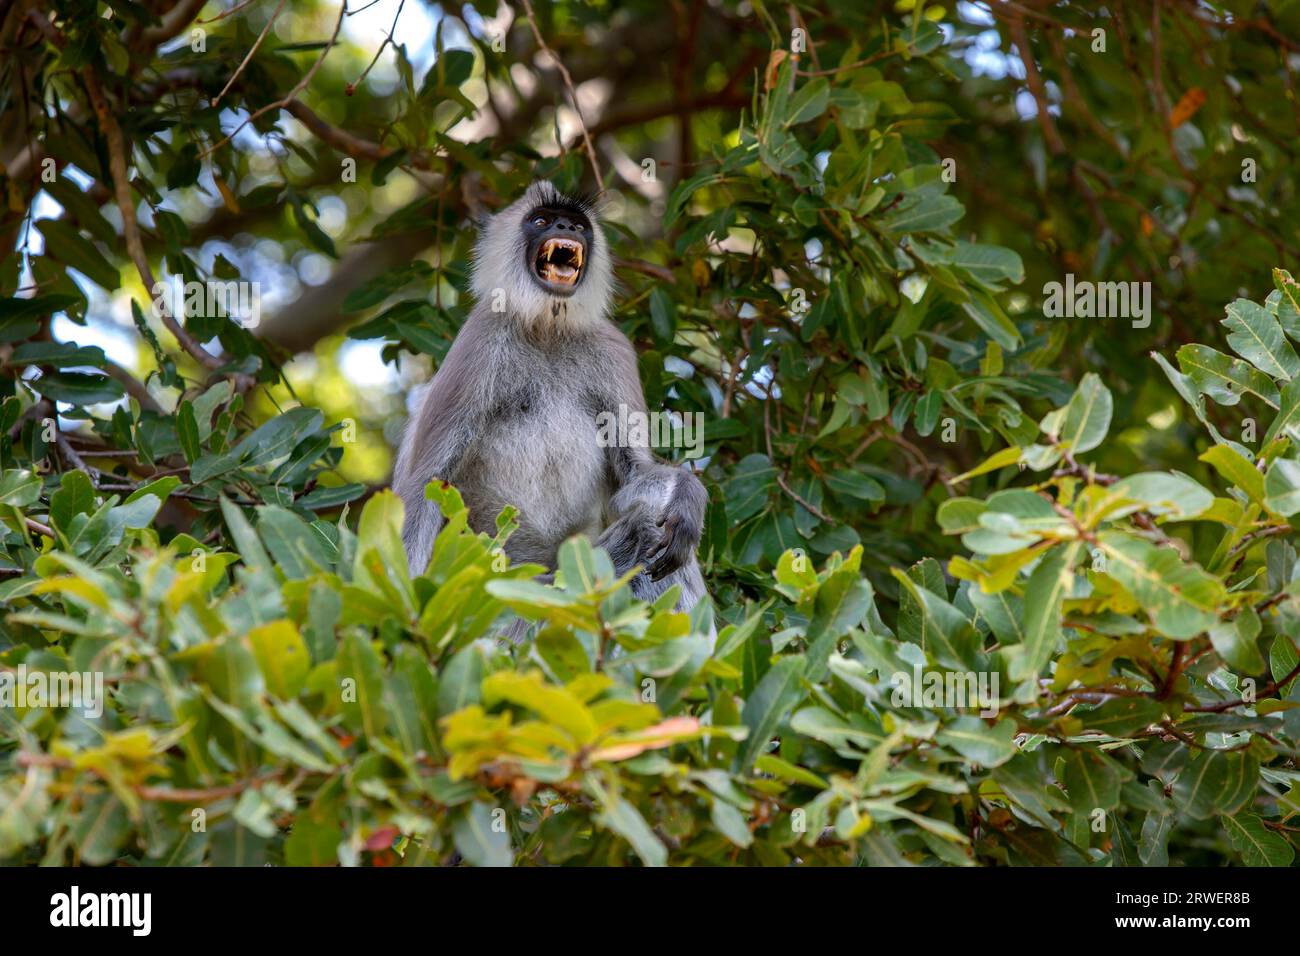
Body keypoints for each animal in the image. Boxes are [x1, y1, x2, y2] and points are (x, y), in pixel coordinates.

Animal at [390, 182, 712, 624]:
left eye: (576, 225)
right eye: (541, 221)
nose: (564, 227)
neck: (547, 329)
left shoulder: (610, 349)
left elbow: (635, 476)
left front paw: (687, 494)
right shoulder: (482, 340)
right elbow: (426, 482)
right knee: (644, 528)